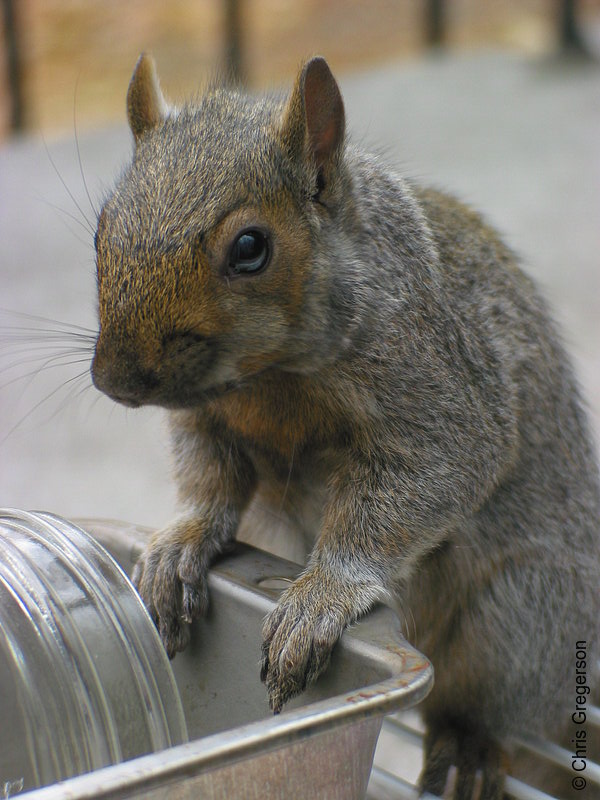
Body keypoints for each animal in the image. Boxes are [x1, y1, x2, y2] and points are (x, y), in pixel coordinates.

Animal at [91, 53, 600, 796]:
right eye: (102, 225)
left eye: (251, 247)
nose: (114, 379)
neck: (266, 377)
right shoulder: (207, 418)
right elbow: (209, 480)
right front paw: (180, 542)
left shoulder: (437, 389)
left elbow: (422, 480)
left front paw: (320, 597)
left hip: (518, 614)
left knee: (490, 702)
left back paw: (468, 746)